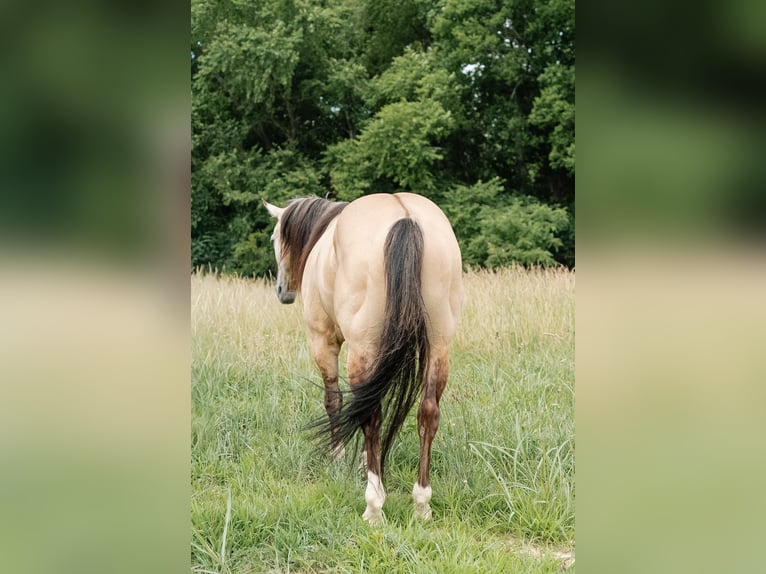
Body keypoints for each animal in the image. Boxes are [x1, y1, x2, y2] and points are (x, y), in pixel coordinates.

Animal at [263, 192, 464, 523]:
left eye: (274, 238)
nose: (282, 291)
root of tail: (406, 218)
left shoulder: (323, 340)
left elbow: (334, 400)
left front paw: (339, 456)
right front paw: (365, 459)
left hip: (363, 348)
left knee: (372, 414)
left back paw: (374, 505)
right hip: (438, 346)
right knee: (428, 413)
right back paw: (421, 503)